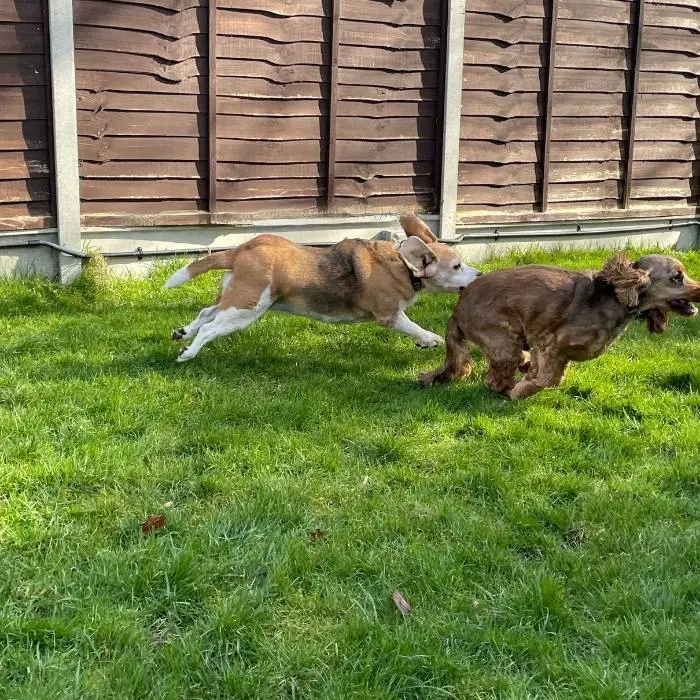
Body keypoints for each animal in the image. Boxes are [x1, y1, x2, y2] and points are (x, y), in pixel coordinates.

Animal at [164, 215, 482, 360]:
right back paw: (189, 352)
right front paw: (430, 338)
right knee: (209, 327)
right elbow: (415, 327)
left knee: (206, 313)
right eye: (457, 266)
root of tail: (244, 248)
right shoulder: (389, 315)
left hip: (237, 299)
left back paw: (183, 333)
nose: (480, 275)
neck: (402, 265)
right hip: (246, 309)